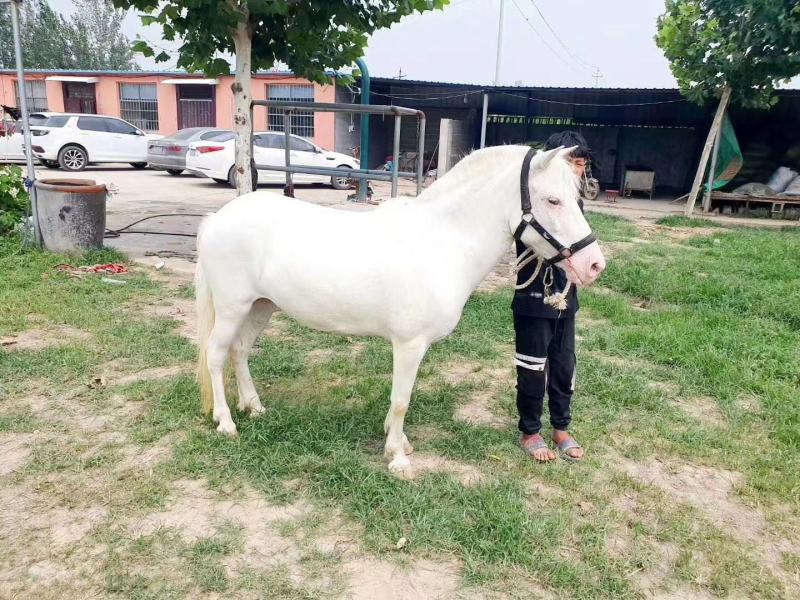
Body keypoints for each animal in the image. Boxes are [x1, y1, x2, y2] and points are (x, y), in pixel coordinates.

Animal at [195, 145, 606, 479]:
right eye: (552, 201)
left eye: (575, 198)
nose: (594, 266)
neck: (442, 242)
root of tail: (216, 219)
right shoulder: (409, 345)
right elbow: (401, 399)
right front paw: (397, 458)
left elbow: (399, 399)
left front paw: (400, 443)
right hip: (233, 307)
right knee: (216, 354)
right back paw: (226, 422)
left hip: (260, 306)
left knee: (240, 351)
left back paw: (253, 406)